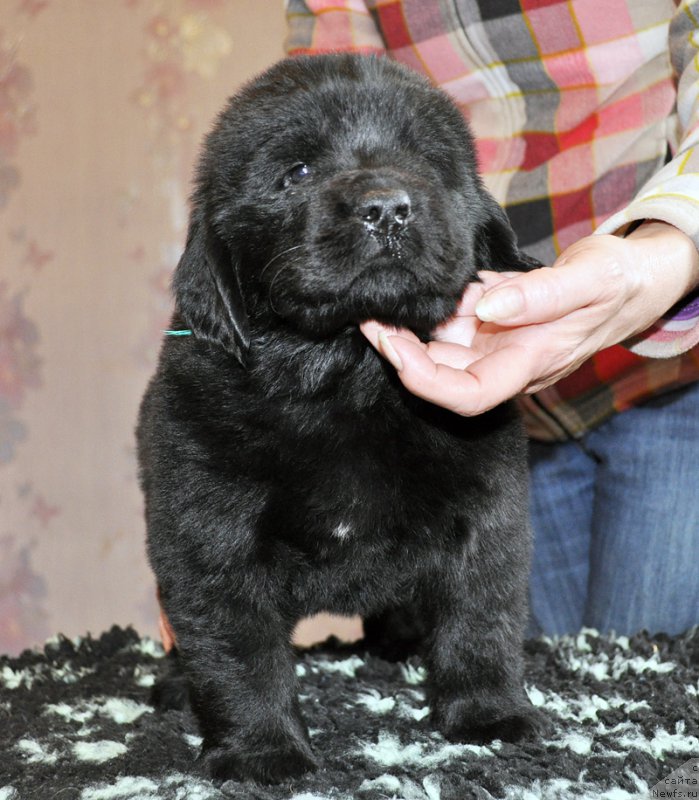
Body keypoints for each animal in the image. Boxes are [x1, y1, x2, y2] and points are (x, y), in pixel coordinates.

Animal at [135, 54, 540, 780]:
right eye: (297, 172)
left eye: (427, 163)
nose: (386, 208)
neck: (349, 378)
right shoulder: (209, 533)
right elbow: (237, 649)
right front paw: (262, 751)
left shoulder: (487, 509)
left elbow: (482, 614)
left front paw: (488, 714)